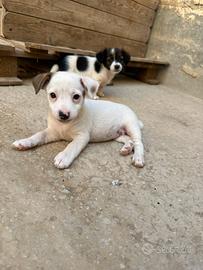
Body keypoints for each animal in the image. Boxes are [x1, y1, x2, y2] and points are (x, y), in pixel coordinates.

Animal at [12, 71, 144, 169]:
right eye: (52, 95)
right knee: (128, 139)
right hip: (116, 134)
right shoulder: (52, 132)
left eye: (76, 97)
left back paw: (138, 157)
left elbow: (72, 145)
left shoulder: (82, 136)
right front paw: (25, 142)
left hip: (131, 125)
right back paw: (127, 148)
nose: (63, 115)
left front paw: (64, 157)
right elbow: (39, 135)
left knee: (138, 142)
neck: (65, 125)